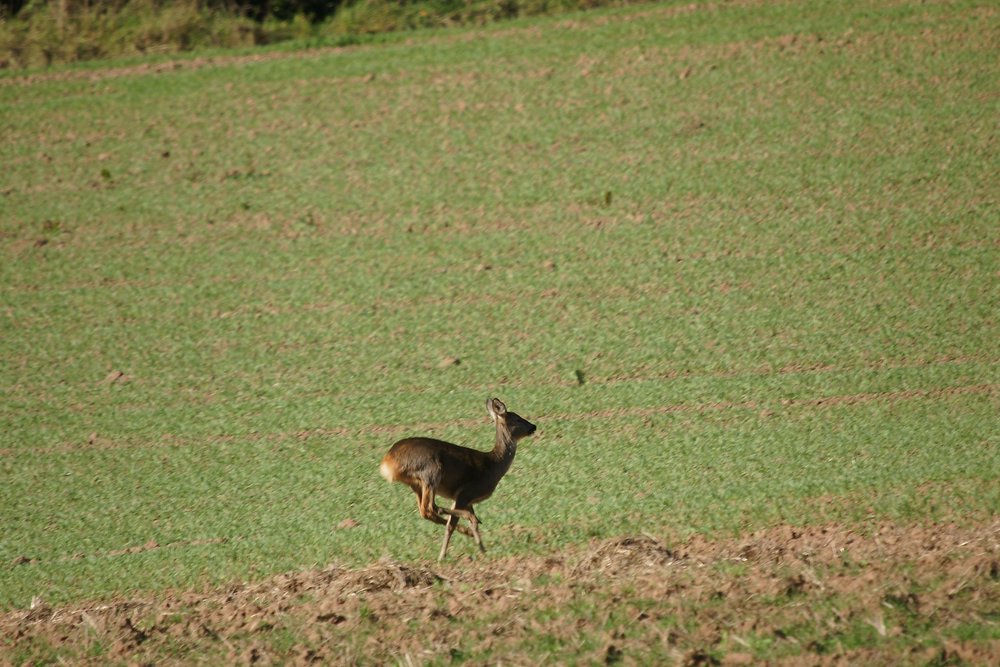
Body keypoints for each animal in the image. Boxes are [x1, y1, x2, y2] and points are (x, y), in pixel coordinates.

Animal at [379, 398, 537, 560]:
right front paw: (443, 556)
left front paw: (482, 549)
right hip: (432, 471)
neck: (493, 465)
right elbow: (452, 525)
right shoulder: (465, 492)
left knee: (426, 510)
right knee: (430, 508)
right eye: (517, 419)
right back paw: (467, 522)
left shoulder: (466, 499)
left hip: (416, 483)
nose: (534, 426)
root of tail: (387, 462)